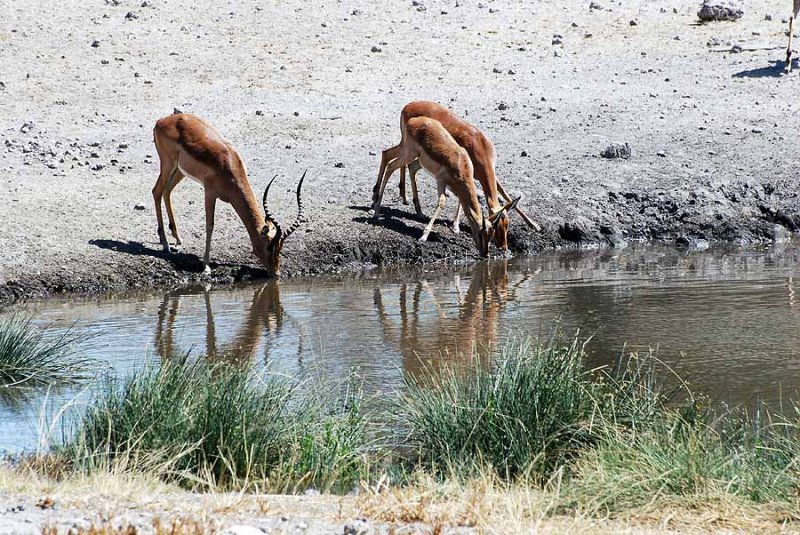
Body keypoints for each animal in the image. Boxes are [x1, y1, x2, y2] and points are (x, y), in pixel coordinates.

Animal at [152, 114, 304, 278]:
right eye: (269, 246)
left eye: (280, 247)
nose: (276, 273)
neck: (229, 165)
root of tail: (161, 121)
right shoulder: (209, 193)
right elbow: (210, 225)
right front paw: (206, 266)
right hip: (168, 164)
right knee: (157, 191)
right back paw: (165, 243)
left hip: (180, 170)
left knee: (166, 191)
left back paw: (177, 239)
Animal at [374, 101, 536, 251]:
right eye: (497, 227)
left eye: (507, 224)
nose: (503, 247)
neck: (480, 147)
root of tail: (408, 106)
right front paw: (455, 226)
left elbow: (504, 194)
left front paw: (534, 225)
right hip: (409, 150)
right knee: (390, 158)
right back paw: (377, 200)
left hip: (413, 154)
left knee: (399, 161)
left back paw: (408, 202)